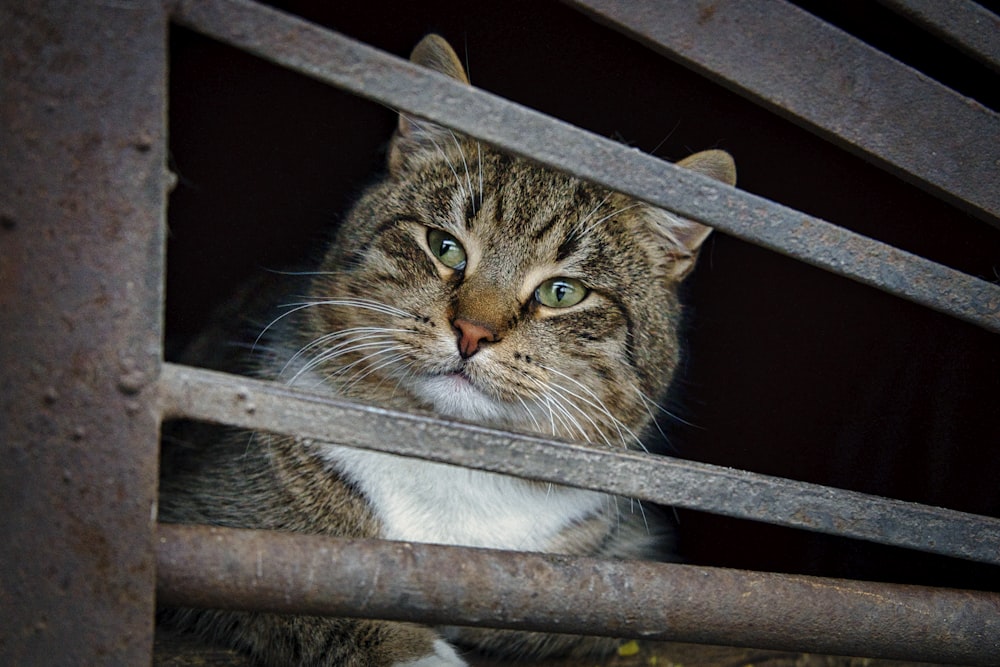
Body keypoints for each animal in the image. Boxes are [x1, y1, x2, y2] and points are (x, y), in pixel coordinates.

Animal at [158, 34, 736, 667]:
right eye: (445, 247)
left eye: (563, 292)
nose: (471, 332)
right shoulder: (203, 523)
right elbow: (297, 583)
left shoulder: (626, 569)